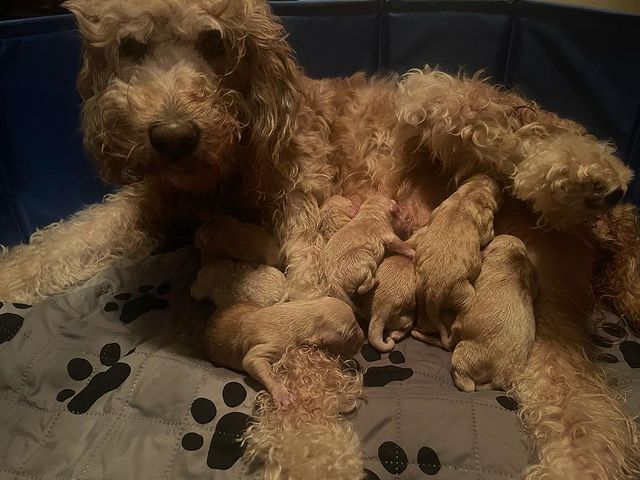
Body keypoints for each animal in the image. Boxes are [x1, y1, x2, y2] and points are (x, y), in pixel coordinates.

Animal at [410, 174, 500, 350]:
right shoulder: (487, 222)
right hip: (465, 296)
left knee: (423, 319)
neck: (470, 193)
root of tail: (435, 290)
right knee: (456, 325)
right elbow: (488, 235)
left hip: (420, 291)